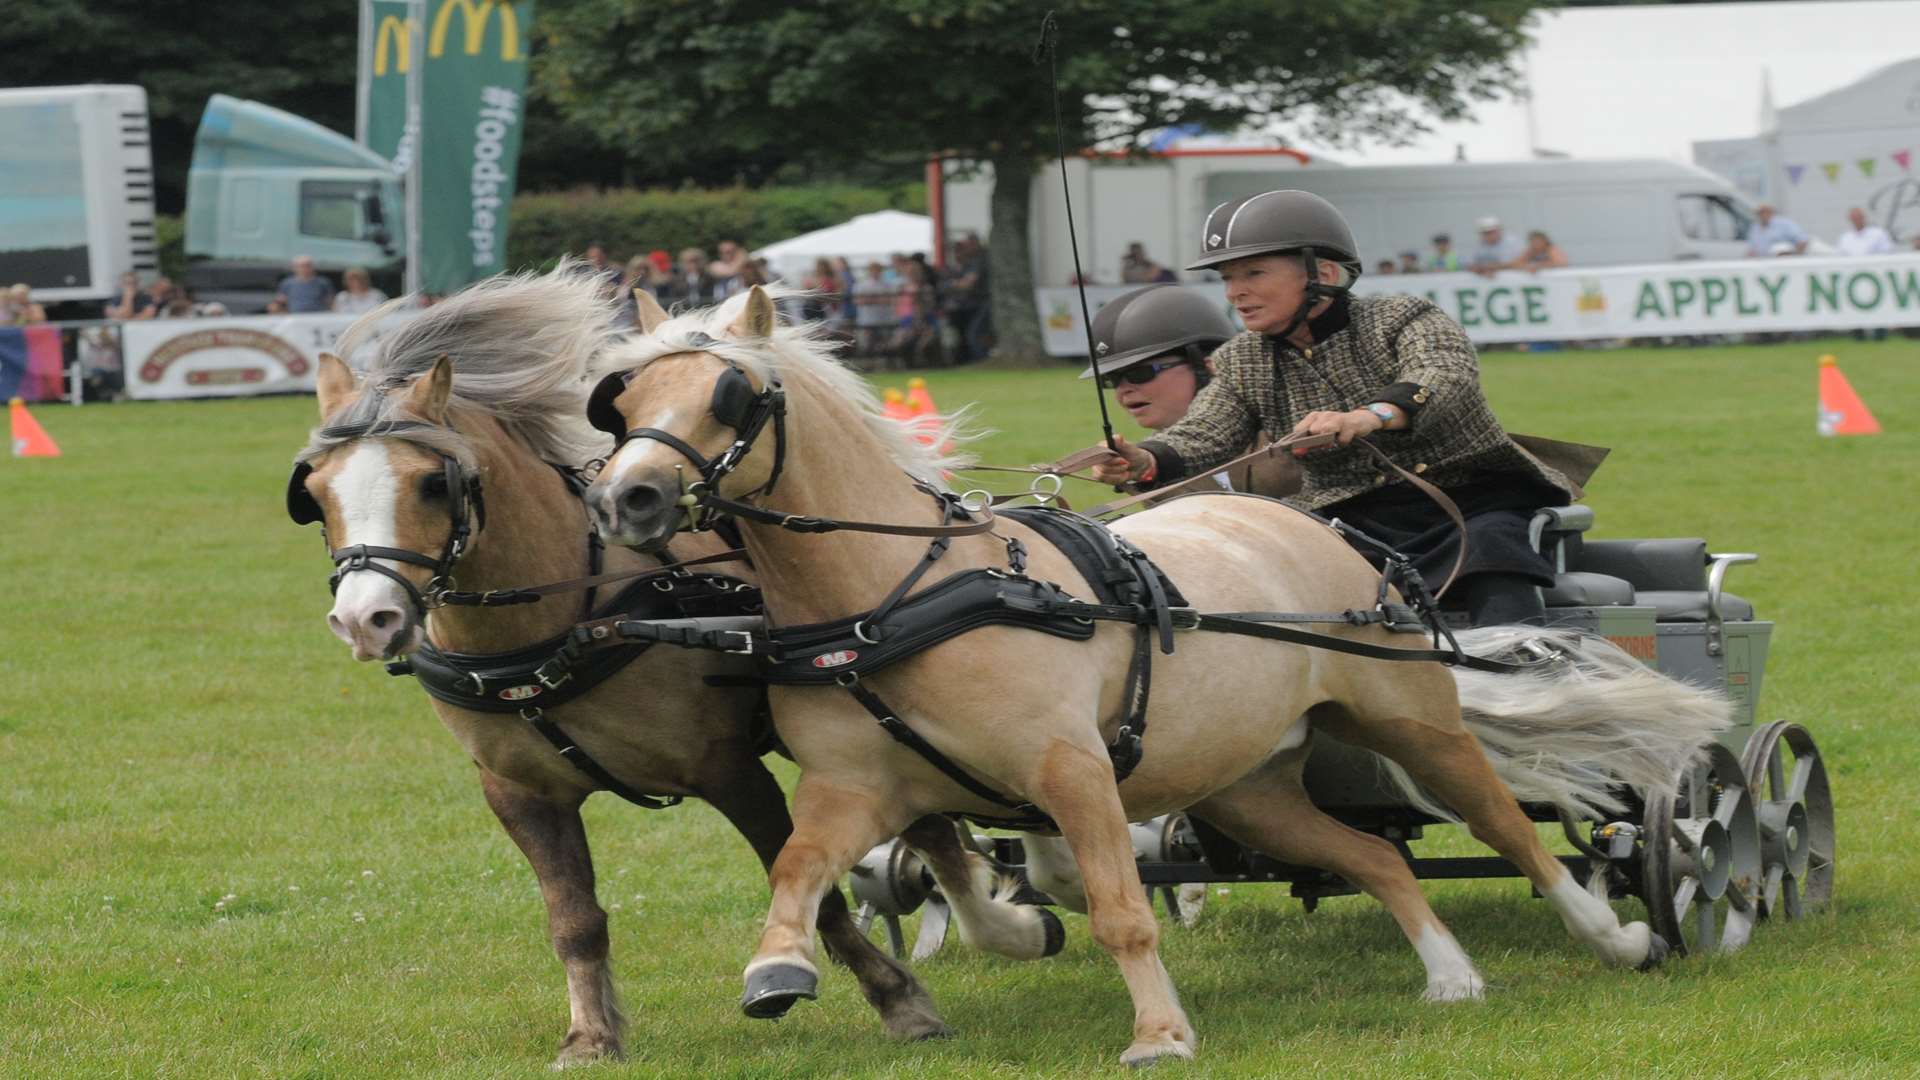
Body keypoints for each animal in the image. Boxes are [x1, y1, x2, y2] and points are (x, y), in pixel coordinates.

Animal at [289, 267, 1059, 1060]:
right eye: (312, 493)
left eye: (431, 484)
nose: (366, 618)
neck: (567, 620)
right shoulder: (518, 794)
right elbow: (574, 918)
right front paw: (591, 1036)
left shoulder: (728, 768)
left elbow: (812, 891)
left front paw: (892, 999)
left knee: (932, 826)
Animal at [579, 282, 1728, 1060]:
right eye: (621, 399)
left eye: (733, 395)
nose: (626, 499)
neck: (897, 591)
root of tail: (1326, 533)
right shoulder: (852, 786)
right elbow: (799, 869)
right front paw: (776, 969)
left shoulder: (1075, 773)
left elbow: (1121, 909)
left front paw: (1161, 1035)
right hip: (1255, 787)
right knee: (1377, 857)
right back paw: (1450, 977)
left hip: (1413, 722)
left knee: (1504, 827)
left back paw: (1614, 937)